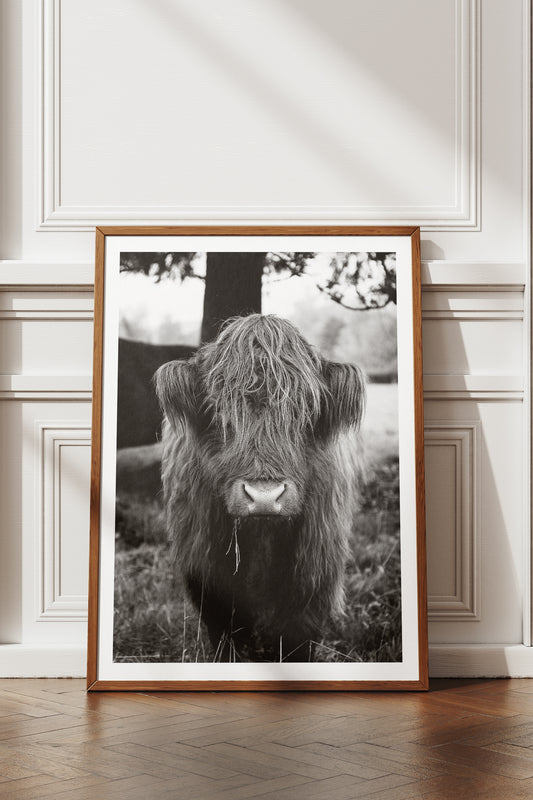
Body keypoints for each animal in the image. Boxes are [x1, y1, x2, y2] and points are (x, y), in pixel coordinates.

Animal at [155, 314, 366, 662]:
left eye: (307, 410)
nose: (264, 497)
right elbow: (227, 635)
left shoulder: (314, 571)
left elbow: (297, 639)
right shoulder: (206, 571)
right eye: (219, 411)